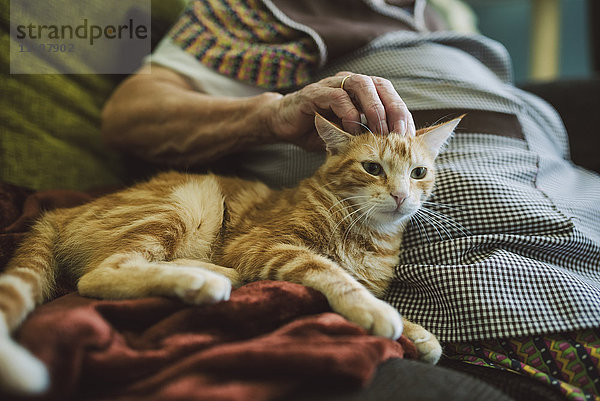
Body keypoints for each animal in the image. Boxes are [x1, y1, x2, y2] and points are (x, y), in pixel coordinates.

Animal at [0, 113, 460, 394]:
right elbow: (332, 272)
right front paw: (376, 312)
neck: (368, 235)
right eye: (372, 168)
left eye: (419, 173)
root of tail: (60, 210)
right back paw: (199, 281)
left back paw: (216, 273)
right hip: (186, 200)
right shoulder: (263, 245)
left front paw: (417, 333)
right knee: (99, 274)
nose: (400, 196)